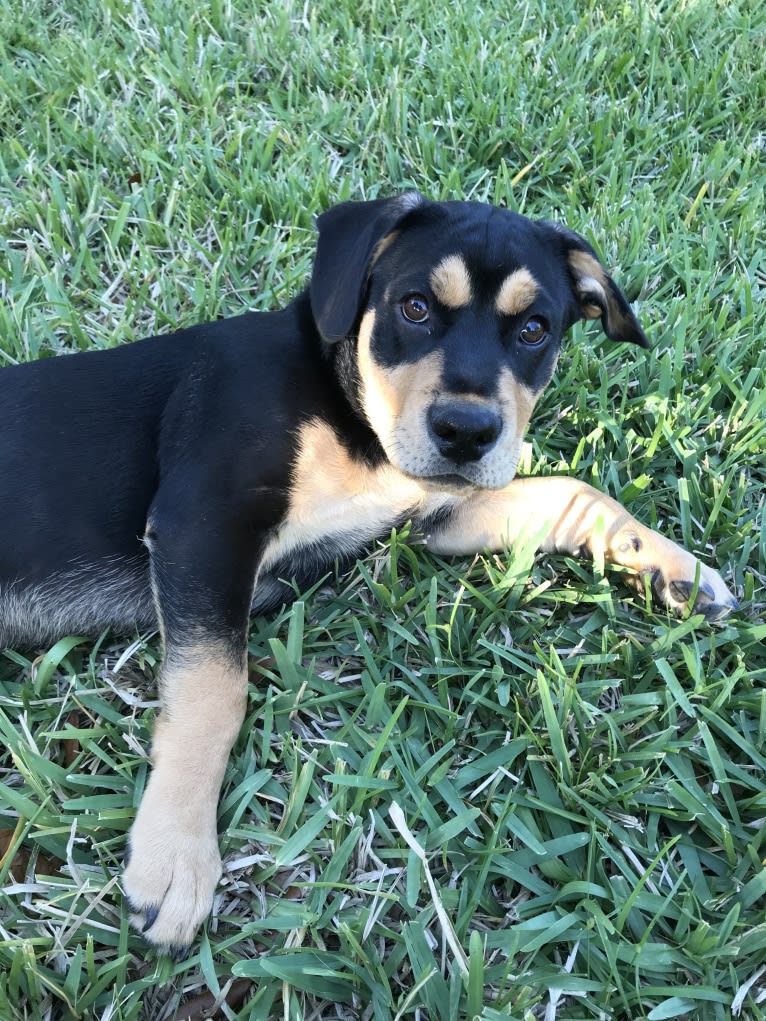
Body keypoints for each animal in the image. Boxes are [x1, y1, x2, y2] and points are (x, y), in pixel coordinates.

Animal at [1, 195, 743, 951]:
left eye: (535, 329)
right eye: (413, 307)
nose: (467, 432)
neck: (347, 411)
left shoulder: (436, 511)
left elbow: (573, 491)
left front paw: (674, 569)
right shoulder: (200, 525)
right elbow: (214, 689)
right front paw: (177, 854)